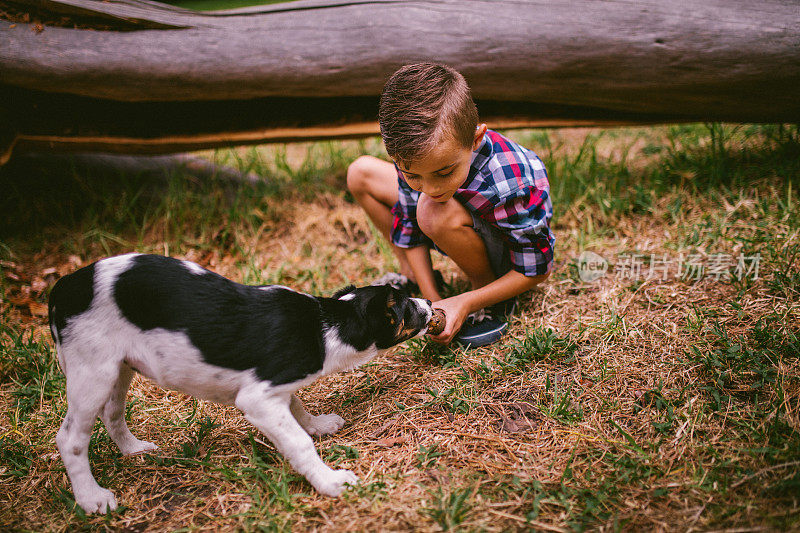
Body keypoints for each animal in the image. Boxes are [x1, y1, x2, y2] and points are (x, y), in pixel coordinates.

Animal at [49, 254, 432, 512]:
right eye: (407, 307)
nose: (429, 302)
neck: (328, 323)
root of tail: (61, 287)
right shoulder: (258, 399)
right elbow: (298, 442)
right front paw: (330, 481)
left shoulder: (276, 388)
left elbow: (298, 407)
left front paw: (318, 424)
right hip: (91, 372)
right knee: (71, 439)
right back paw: (92, 499)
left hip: (119, 367)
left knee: (112, 414)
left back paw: (133, 449)